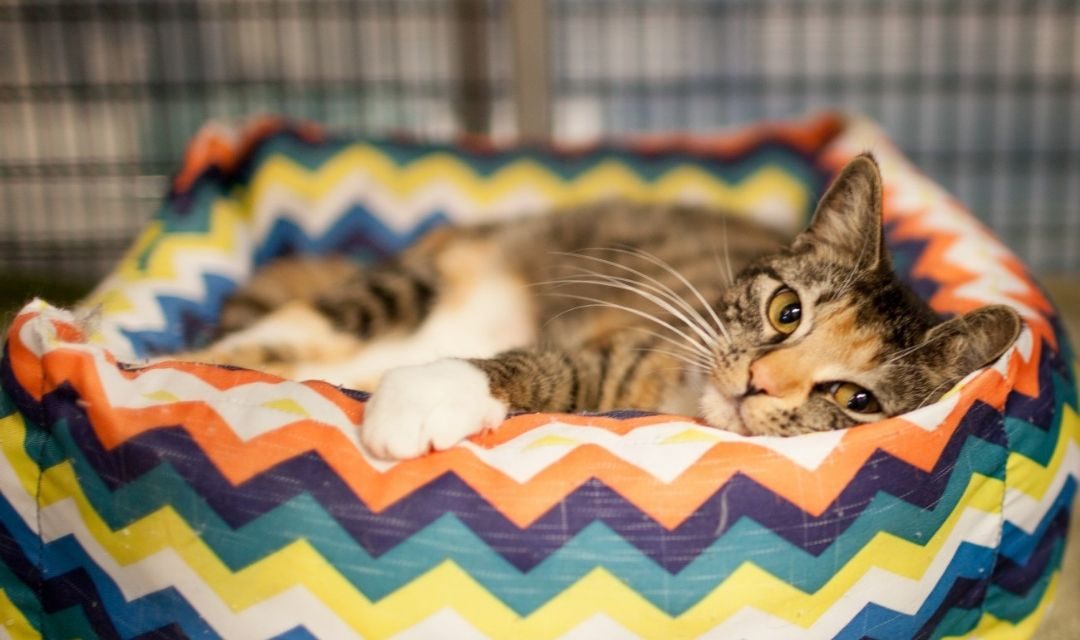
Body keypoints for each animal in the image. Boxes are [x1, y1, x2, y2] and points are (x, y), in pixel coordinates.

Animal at [185, 152, 1019, 457]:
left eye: (856, 399)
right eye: (788, 311)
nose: (759, 384)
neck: (685, 396)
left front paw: (423, 397)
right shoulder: (640, 344)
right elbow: (555, 363)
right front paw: (430, 395)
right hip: (411, 287)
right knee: (286, 331)